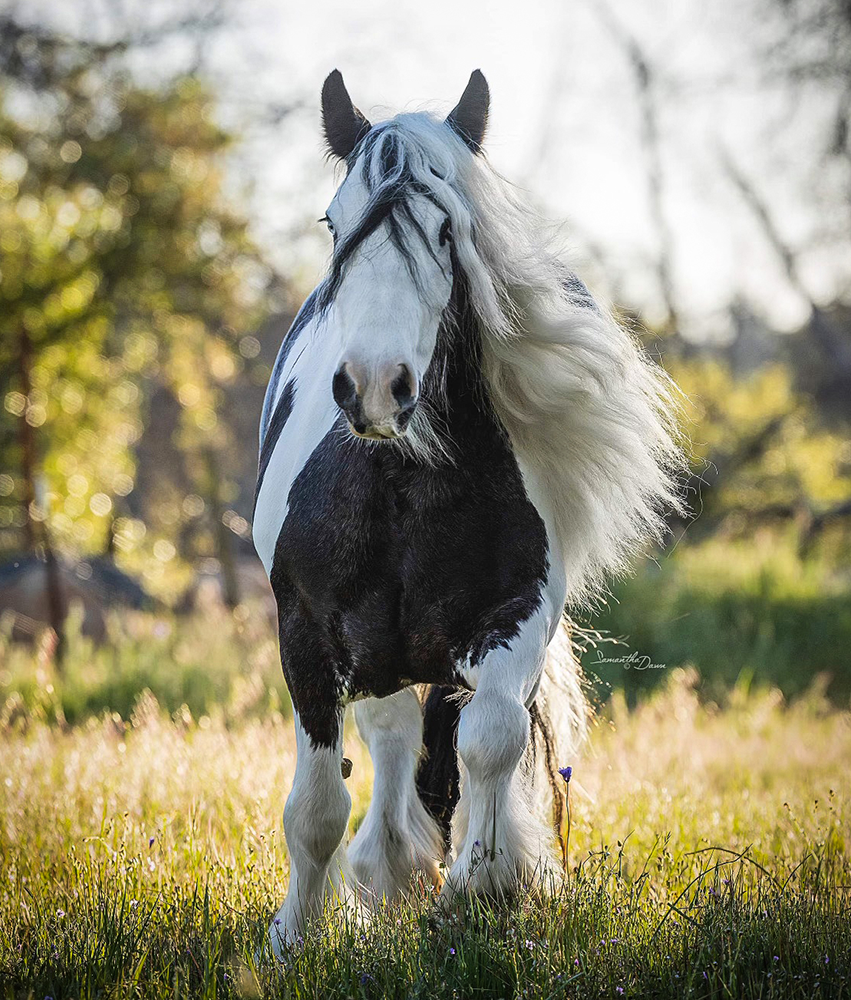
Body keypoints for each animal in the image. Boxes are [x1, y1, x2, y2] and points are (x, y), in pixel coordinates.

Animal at [253, 70, 684, 952]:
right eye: (334, 222)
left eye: (447, 228)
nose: (373, 385)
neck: (400, 485)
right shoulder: (306, 635)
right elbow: (316, 805)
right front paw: (295, 938)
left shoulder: (514, 616)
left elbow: (490, 742)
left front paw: (482, 888)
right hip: (372, 657)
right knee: (388, 741)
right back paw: (384, 870)